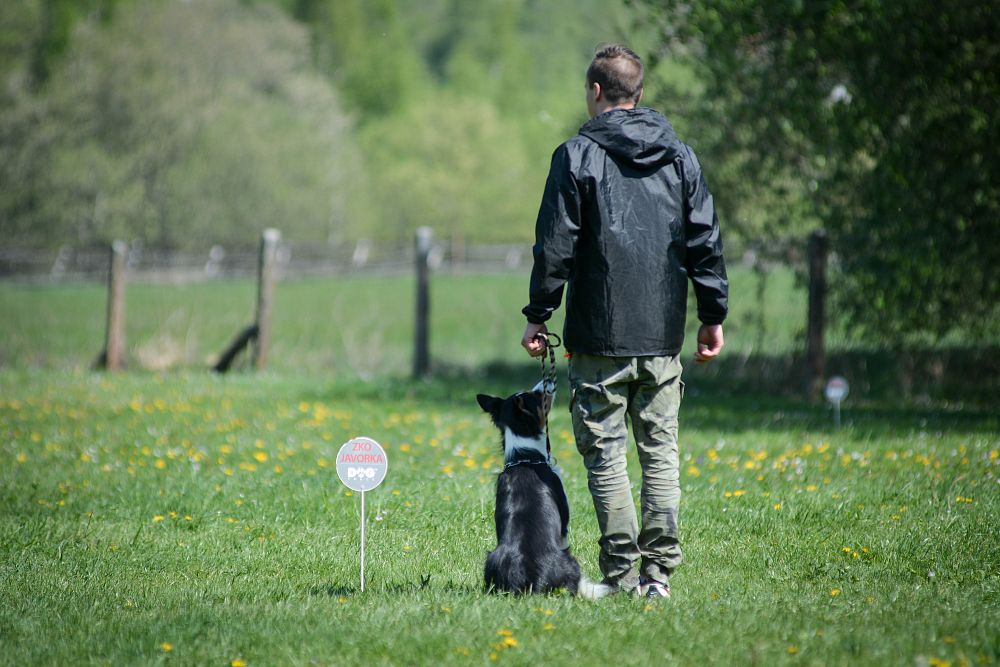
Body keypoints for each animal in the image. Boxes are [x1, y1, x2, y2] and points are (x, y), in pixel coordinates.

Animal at [476, 386, 608, 600]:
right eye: (538, 396)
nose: (546, 386)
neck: (524, 457)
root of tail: (532, 582)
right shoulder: (563, 519)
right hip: (570, 561)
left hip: (491, 559)